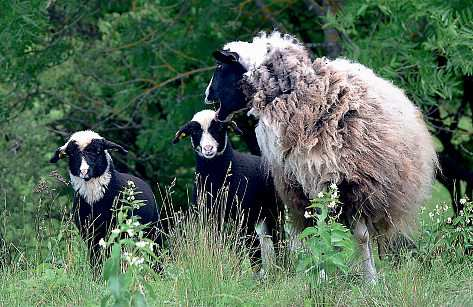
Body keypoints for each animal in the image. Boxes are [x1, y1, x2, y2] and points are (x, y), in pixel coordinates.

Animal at [48, 130, 161, 268]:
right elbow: (96, 258)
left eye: (98, 151)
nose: (84, 171)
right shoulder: (90, 233)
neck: (94, 201)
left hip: (152, 230)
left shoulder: (117, 230)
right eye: (72, 154)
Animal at [172, 109, 284, 274]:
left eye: (219, 128)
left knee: (275, 240)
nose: (208, 149)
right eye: (194, 131)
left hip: (273, 212)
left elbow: (241, 249)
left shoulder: (241, 217)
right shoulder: (208, 218)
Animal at [205, 31, 436, 284]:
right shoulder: (303, 187)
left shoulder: (354, 185)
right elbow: (316, 230)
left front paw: (370, 281)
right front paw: (322, 277)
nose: (206, 95)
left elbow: (361, 236)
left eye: (220, 67)